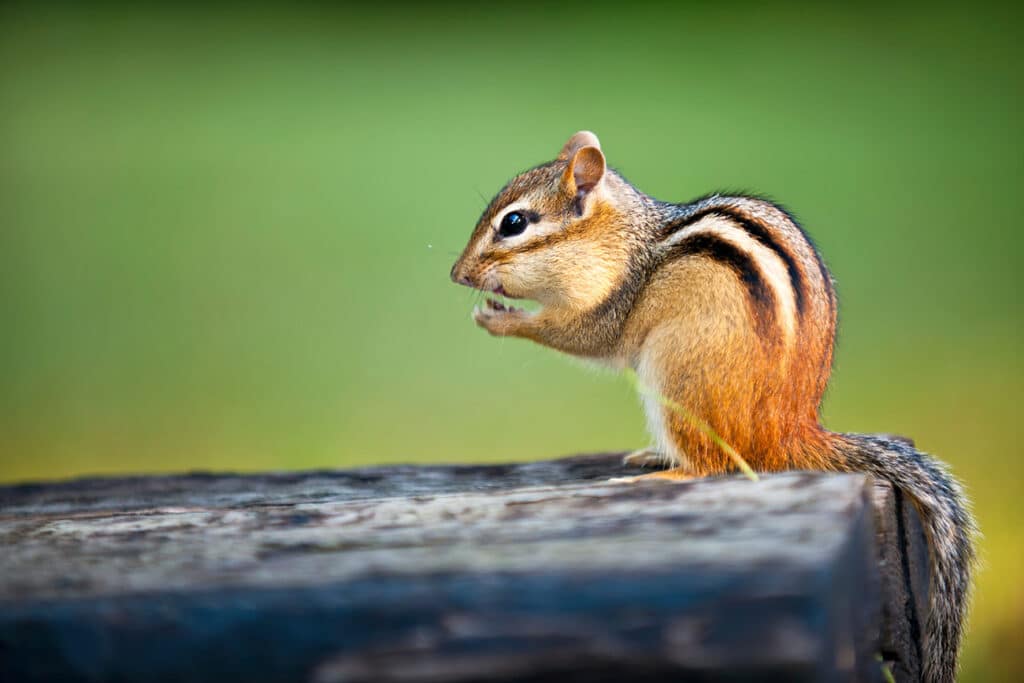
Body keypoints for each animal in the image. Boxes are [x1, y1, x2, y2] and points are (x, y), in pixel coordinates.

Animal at [450, 131, 976, 682]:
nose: (457, 274)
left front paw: (501, 318)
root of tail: (789, 428)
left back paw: (661, 476)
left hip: (675, 371)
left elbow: (584, 337)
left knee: (712, 464)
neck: (621, 240)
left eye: (514, 223)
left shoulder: (611, 304)